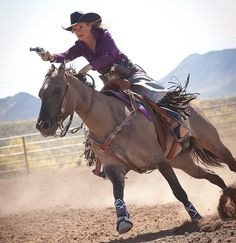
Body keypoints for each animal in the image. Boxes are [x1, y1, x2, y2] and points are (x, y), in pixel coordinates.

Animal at [35, 62, 236, 234]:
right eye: (40, 94)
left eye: (58, 90)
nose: (42, 126)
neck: (111, 120)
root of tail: (188, 104)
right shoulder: (114, 168)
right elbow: (117, 194)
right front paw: (123, 221)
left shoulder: (159, 160)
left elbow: (178, 190)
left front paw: (196, 217)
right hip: (183, 162)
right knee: (213, 177)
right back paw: (226, 203)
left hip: (211, 142)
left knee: (230, 163)